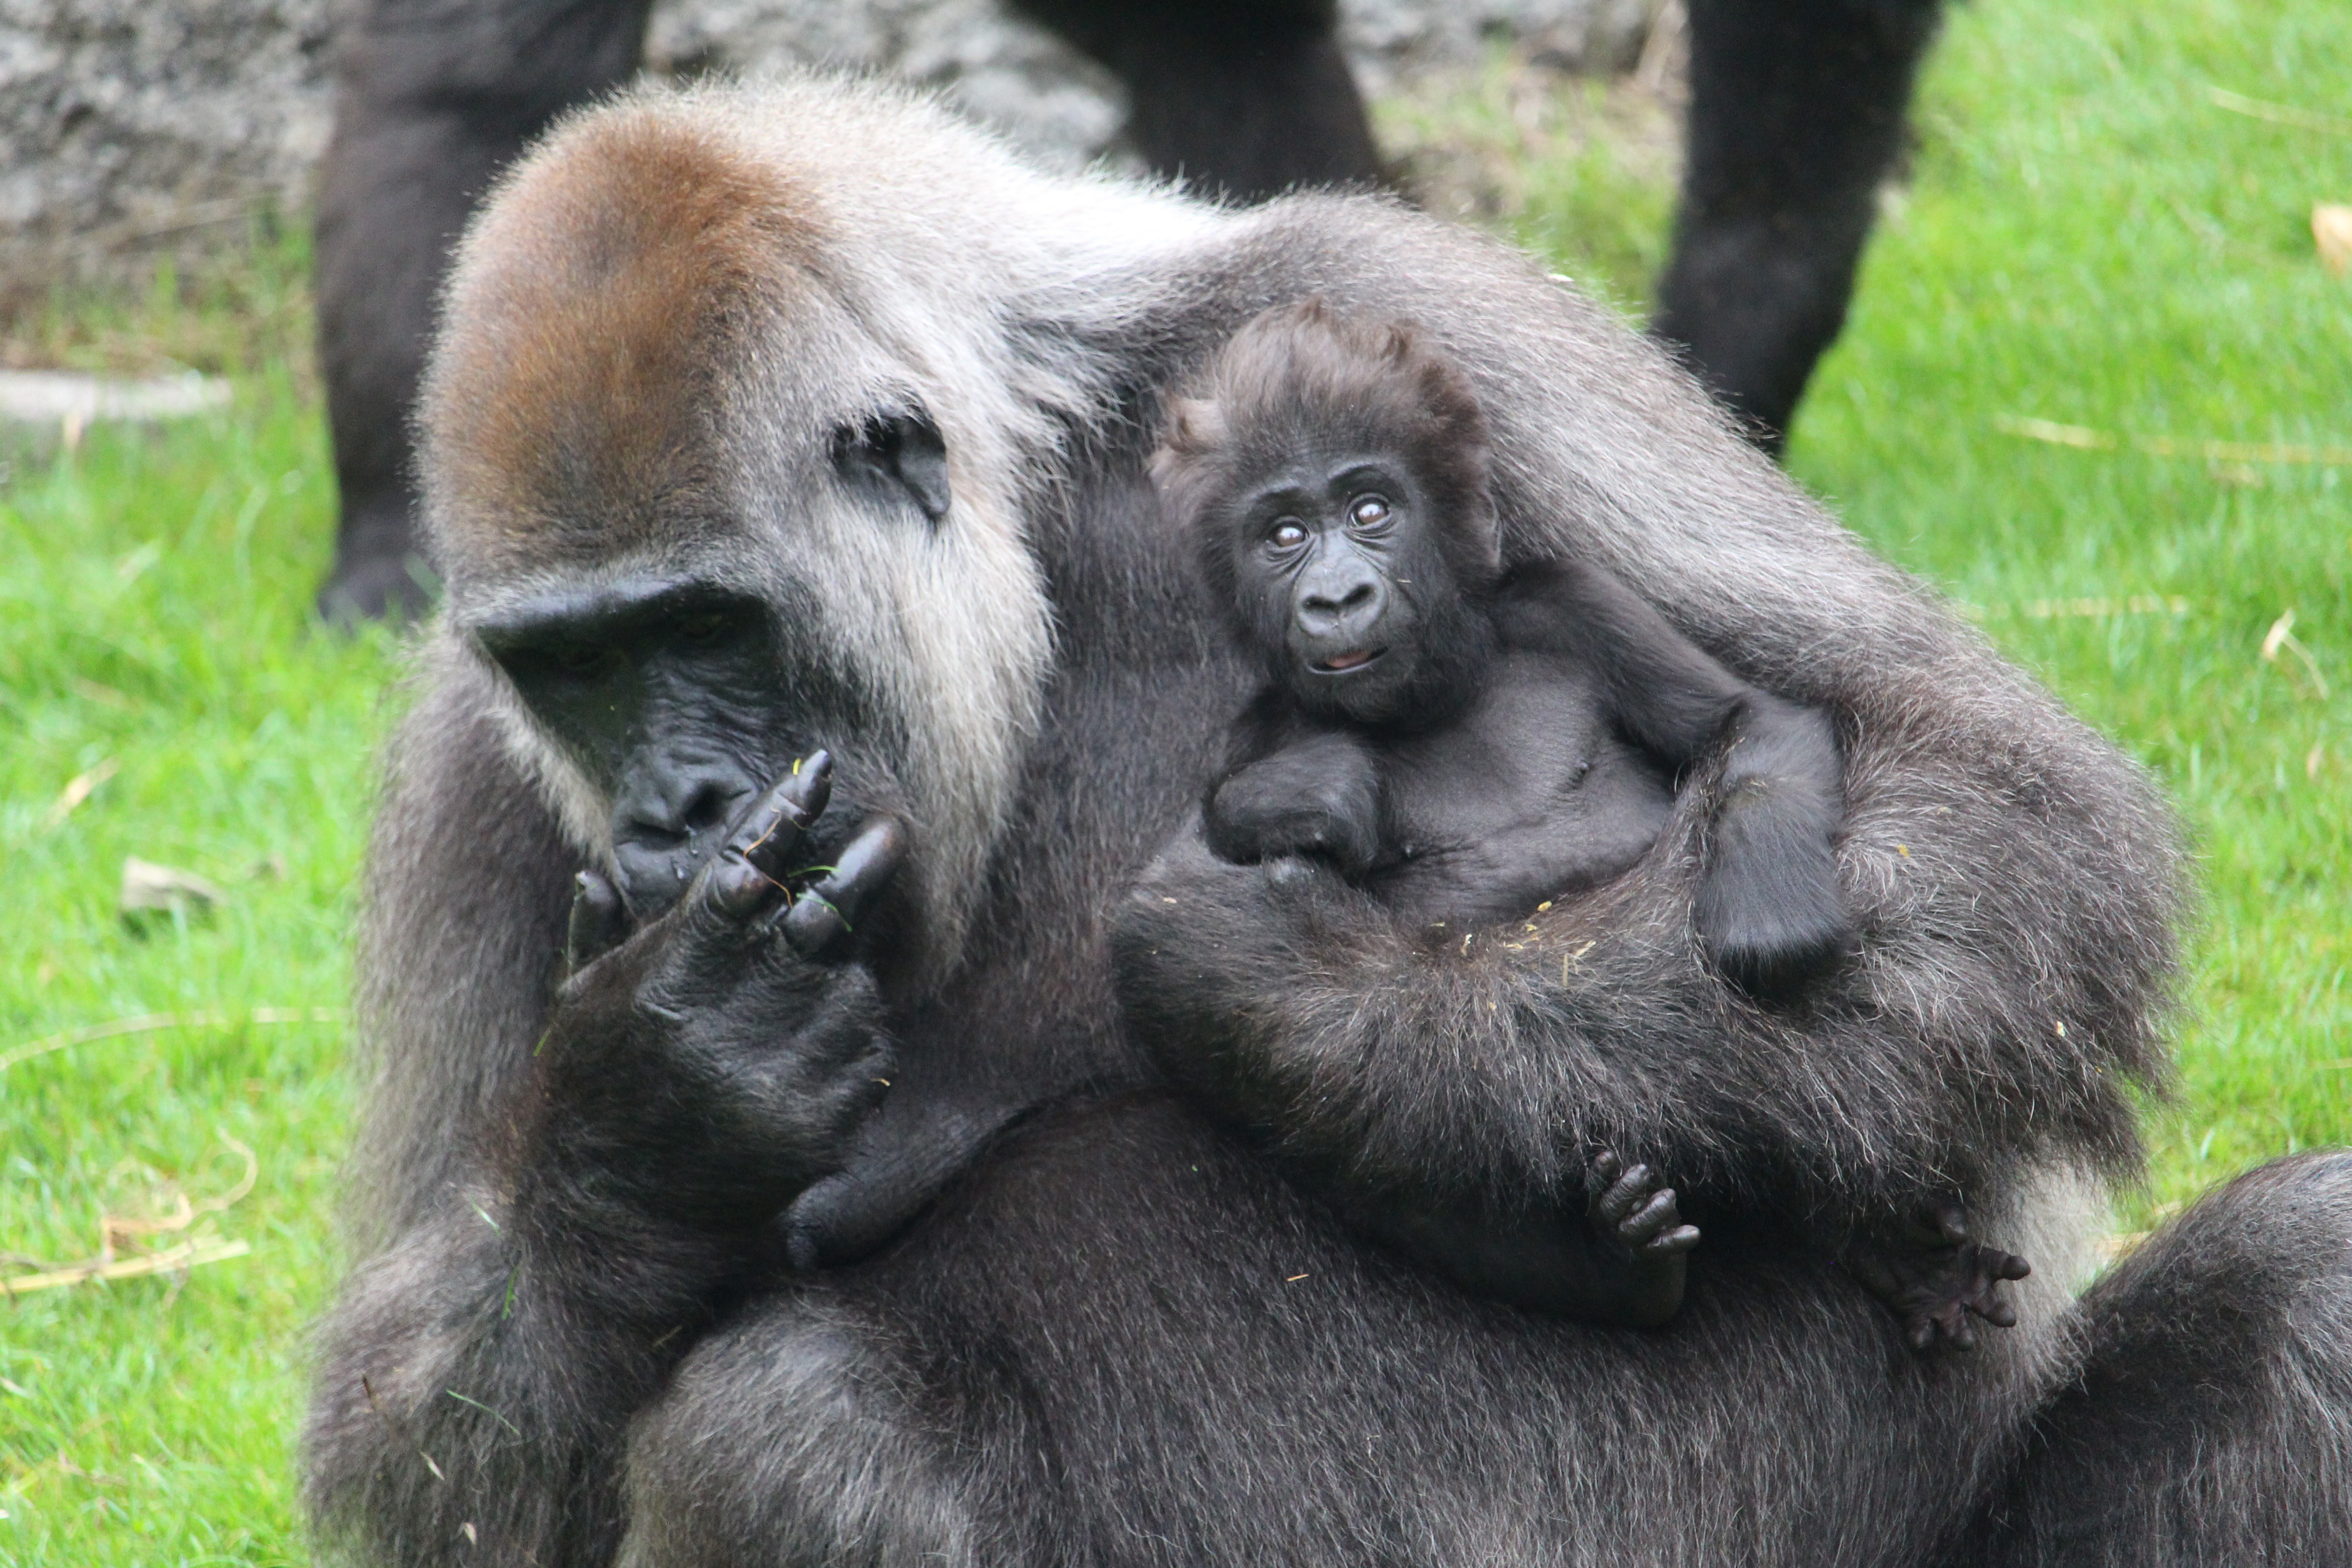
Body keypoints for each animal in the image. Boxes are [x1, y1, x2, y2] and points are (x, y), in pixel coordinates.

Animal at [304, 79, 2352, 1568]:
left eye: (710, 628)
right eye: (576, 667)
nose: (676, 808)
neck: (1029, 509)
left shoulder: (1429, 326)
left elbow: (1981, 815)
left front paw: (1333, 1019)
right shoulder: (463, 758)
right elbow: (432, 1459)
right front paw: (653, 1115)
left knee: (2307, 1290)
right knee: (794, 1440)